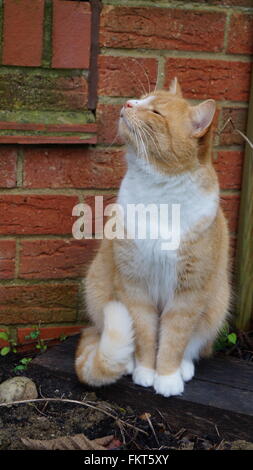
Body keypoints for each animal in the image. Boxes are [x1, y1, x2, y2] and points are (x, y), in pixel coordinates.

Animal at [74, 78, 230, 396]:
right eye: (141, 99)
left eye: (156, 112)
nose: (128, 103)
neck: (159, 192)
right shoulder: (134, 284)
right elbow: (145, 333)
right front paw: (146, 370)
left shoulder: (189, 293)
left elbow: (174, 338)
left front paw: (167, 376)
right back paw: (129, 363)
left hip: (217, 302)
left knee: (194, 344)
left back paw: (184, 367)